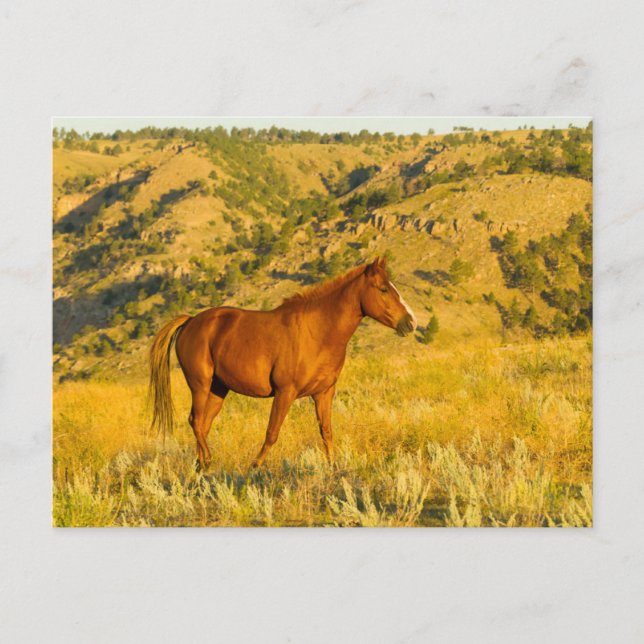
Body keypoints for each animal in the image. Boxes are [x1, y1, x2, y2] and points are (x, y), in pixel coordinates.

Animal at [148, 256, 417, 470]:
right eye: (383, 289)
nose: (410, 323)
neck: (317, 332)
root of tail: (191, 321)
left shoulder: (324, 393)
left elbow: (326, 432)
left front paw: (333, 467)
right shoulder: (285, 392)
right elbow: (272, 432)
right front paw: (255, 466)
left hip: (218, 389)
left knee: (203, 424)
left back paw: (202, 465)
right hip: (200, 385)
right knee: (195, 421)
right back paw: (207, 462)